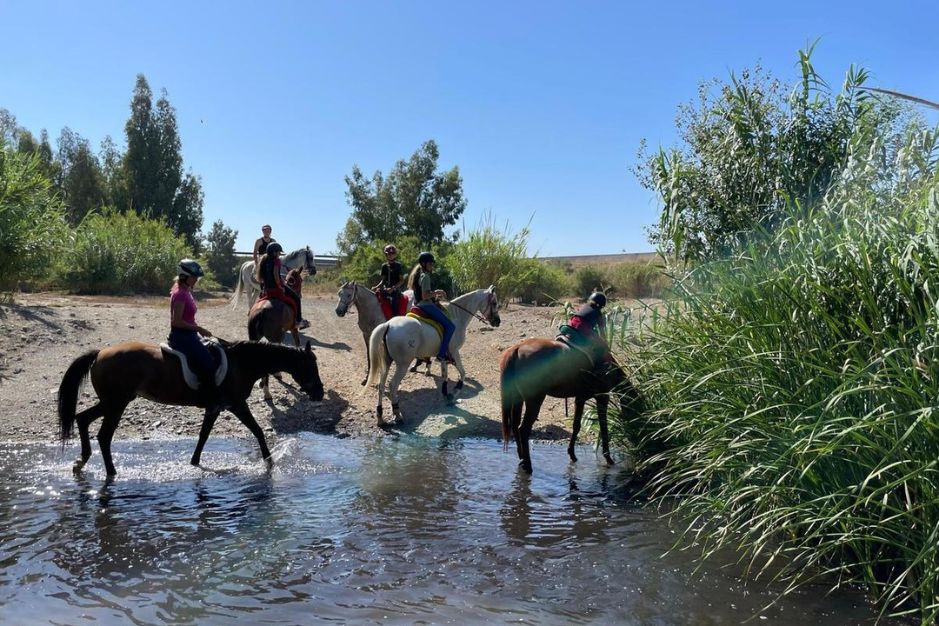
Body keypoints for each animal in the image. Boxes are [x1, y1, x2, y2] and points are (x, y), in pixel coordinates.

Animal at [57, 340, 325, 476]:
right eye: (310, 366)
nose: (320, 393)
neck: (242, 363)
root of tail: (100, 353)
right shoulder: (236, 405)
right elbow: (257, 430)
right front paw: (269, 462)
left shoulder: (214, 408)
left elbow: (203, 436)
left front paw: (194, 463)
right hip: (117, 403)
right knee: (104, 436)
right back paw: (111, 472)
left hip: (113, 402)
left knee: (82, 419)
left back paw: (81, 462)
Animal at [365, 286, 501, 425]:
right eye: (494, 302)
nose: (498, 322)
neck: (457, 316)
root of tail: (388, 325)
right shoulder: (454, 352)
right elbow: (462, 373)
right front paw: (453, 393)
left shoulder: (444, 356)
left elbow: (445, 375)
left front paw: (446, 395)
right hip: (402, 364)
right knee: (393, 386)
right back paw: (397, 414)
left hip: (386, 362)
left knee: (381, 386)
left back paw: (380, 416)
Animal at [499, 338, 641, 474]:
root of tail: (517, 349)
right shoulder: (602, 398)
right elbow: (604, 427)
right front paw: (609, 459)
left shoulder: (580, 398)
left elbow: (576, 426)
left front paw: (572, 454)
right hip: (535, 399)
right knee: (523, 429)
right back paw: (528, 466)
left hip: (518, 398)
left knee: (515, 425)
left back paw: (522, 459)